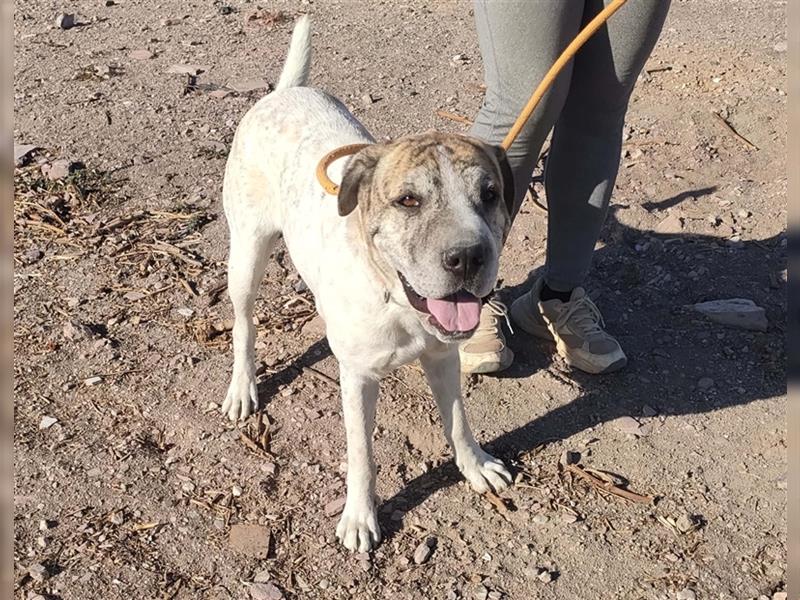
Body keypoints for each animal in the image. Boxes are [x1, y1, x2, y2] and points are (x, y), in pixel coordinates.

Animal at [222, 17, 516, 552]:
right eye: (408, 200)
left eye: (490, 195)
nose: (467, 257)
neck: (397, 301)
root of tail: (286, 91)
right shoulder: (358, 379)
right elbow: (362, 455)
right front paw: (359, 517)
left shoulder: (443, 358)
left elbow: (459, 422)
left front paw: (476, 465)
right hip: (247, 256)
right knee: (243, 326)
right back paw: (241, 387)